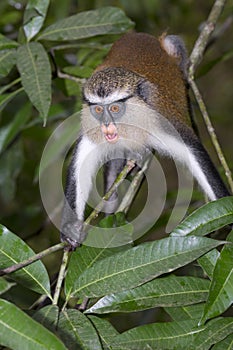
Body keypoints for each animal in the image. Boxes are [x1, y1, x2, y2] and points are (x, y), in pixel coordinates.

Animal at [60, 31, 229, 247]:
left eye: (115, 108)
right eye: (98, 110)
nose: (106, 124)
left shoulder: (160, 122)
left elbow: (194, 152)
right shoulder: (91, 131)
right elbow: (80, 166)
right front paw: (70, 228)